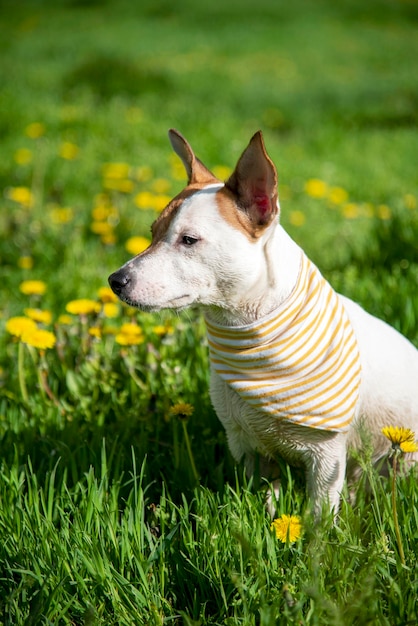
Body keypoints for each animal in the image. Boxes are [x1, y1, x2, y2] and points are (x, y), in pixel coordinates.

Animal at [109, 129, 418, 516]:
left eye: (188, 240)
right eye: (152, 232)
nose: (115, 280)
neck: (250, 338)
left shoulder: (326, 458)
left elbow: (319, 515)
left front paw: (315, 533)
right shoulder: (247, 446)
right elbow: (264, 498)